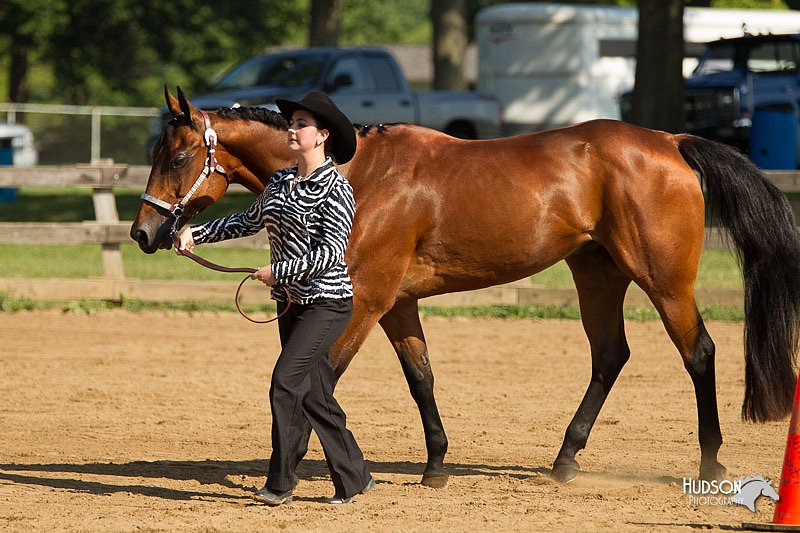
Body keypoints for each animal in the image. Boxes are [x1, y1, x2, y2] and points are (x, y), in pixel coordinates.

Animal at [131, 87, 800, 486]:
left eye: (177, 156)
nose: (144, 232)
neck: (355, 173)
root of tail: (669, 142)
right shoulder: (397, 305)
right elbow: (420, 379)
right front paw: (434, 466)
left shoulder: (364, 302)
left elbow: (318, 378)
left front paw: (290, 468)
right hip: (597, 271)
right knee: (610, 355)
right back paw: (564, 460)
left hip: (662, 279)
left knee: (699, 353)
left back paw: (709, 460)